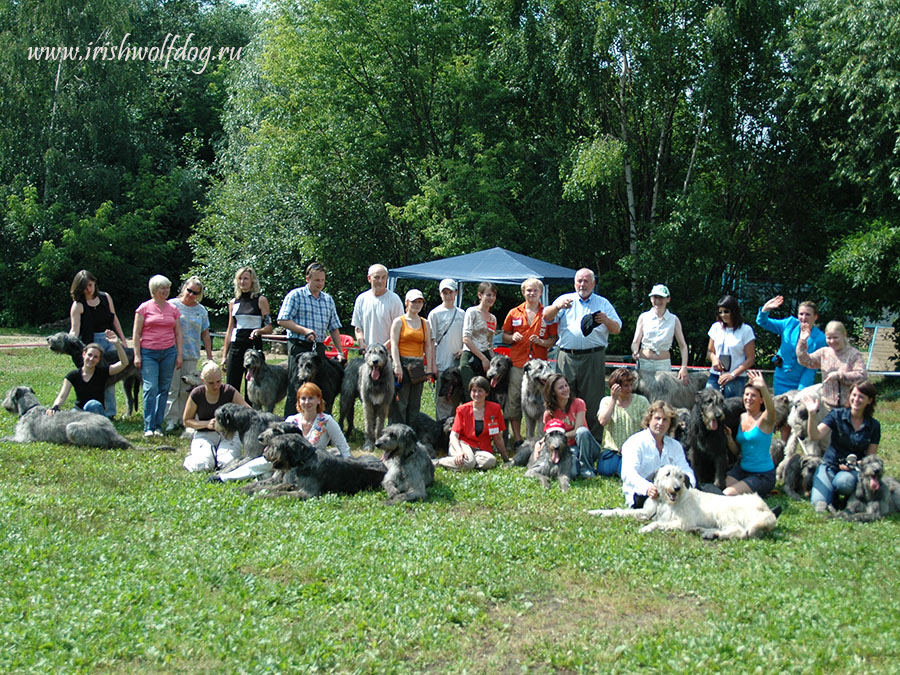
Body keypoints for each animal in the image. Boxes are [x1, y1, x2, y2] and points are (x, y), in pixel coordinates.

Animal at [588, 468, 776, 540]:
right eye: (667, 474)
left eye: (680, 476)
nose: (677, 488)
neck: (664, 502)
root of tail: (765, 508)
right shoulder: (646, 512)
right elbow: (619, 511)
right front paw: (597, 512)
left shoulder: (683, 521)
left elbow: (657, 523)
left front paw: (646, 528)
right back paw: (704, 531)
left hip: (724, 512)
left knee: (738, 531)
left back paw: (711, 534)